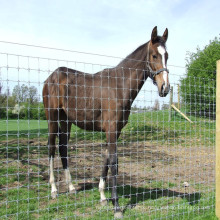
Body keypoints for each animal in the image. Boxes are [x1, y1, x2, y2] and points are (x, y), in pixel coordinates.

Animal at [43, 26, 170, 218]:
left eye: (167, 55)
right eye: (154, 55)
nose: (165, 88)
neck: (119, 85)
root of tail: (51, 77)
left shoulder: (115, 131)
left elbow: (107, 160)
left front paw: (103, 197)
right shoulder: (111, 130)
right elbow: (114, 164)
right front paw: (116, 206)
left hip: (66, 121)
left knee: (63, 148)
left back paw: (71, 187)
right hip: (52, 118)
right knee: (51, 148)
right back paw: (53, 190)